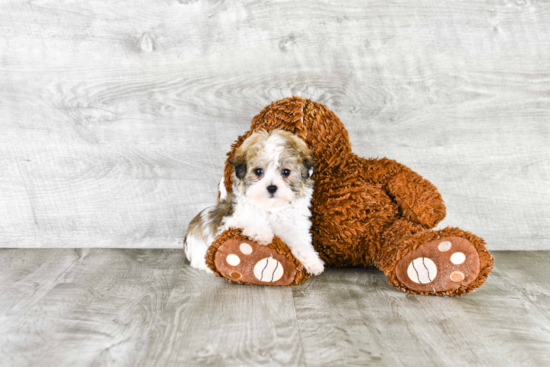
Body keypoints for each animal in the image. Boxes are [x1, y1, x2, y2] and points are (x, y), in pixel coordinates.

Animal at [185, 129, 326, 276]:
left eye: (286, 172)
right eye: (258, 171)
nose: (272, 187)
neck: (270, 208)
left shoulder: (293, 225)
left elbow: (300, 241)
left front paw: (313, 261)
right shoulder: (230, 222)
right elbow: (250, 218)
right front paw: (262, 234)